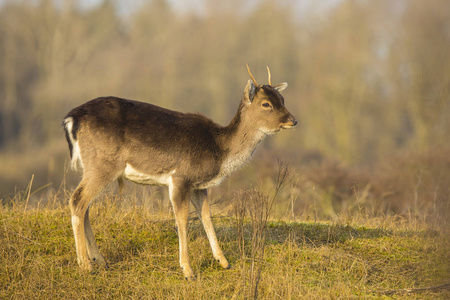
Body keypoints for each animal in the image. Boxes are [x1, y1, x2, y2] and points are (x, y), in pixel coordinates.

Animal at [62, 65, 296, 278]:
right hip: (103, 164)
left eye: (282, 100)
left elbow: (206, 216)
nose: (293, 120)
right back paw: (85, 264)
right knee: (77, 200)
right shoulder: (180, 177)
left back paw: (99, 259)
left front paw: (223, 261)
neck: (219, 151)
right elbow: (182, 220)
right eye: (266, 104)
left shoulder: (199, 186)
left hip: (93, 166)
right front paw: (188, 270)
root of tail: (71, 119)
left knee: (85, 205)